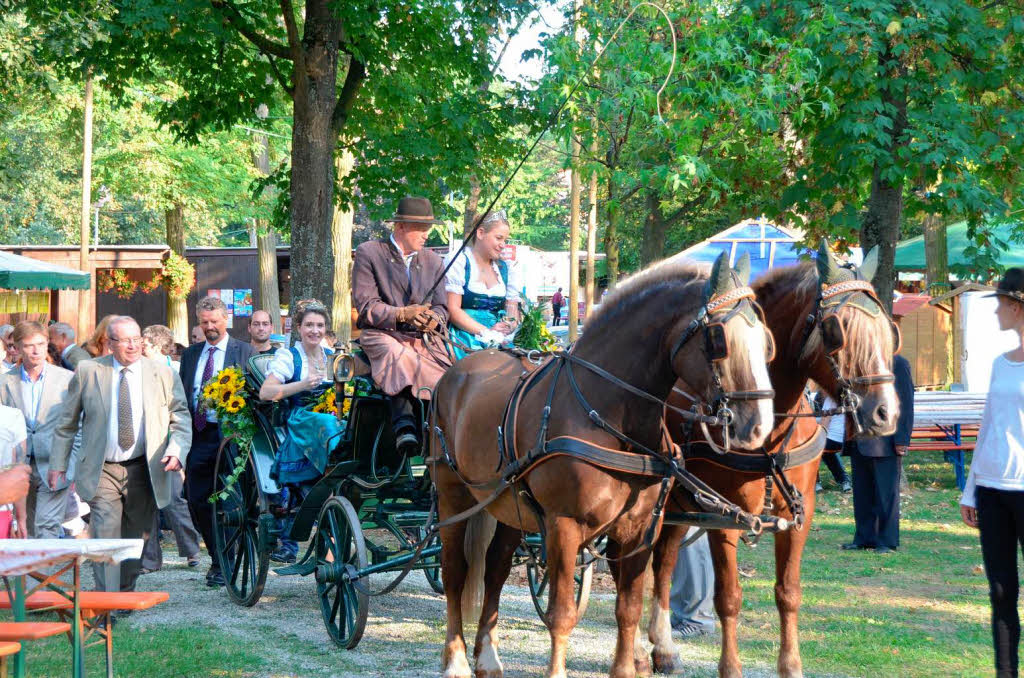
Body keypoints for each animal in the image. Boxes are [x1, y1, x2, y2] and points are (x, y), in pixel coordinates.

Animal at [432, 255, 774, 678]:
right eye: (718, 339)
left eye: (765, 341)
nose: (758, 425)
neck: (608, 412)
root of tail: (458, 371)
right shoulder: (563, 526)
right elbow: (562, 614)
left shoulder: (640, 529)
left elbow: (628, 608)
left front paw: (629, 665)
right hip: (453, 495)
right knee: (454, 573)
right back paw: (456, 659)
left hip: (510, 505)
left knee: (495, 569)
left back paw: (489, 656)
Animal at [643, 245, 901, 678]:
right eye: (838, 329)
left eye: (887, 328)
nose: (886, 412)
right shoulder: (725, 514)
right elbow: (729, 597)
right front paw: (730, 668)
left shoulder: (799, 512)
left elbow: (788, 593)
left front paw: (791, 666)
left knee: (664, 560)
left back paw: (662, 649)